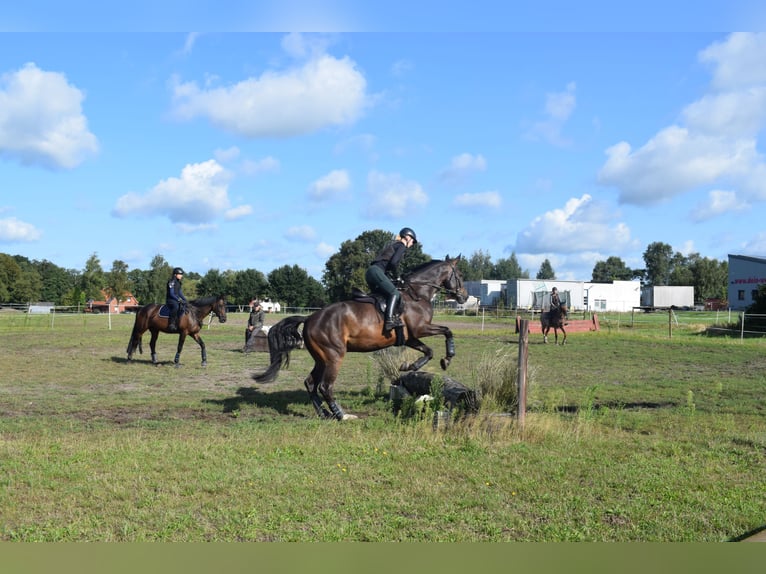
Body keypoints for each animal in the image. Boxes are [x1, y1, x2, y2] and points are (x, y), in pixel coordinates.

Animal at [254, 258, 468, 420]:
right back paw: (341, 415)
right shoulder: (421, 329)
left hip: (321, 358)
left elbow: (429, 351)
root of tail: (309, 319)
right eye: (460, 275)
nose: (464, 297)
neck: (417, 294)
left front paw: (410, 366)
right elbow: (447, 331)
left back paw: (324, 413)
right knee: (325, 386)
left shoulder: (410, 337)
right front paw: (448, 357)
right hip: (334, 356)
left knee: (310, 383)